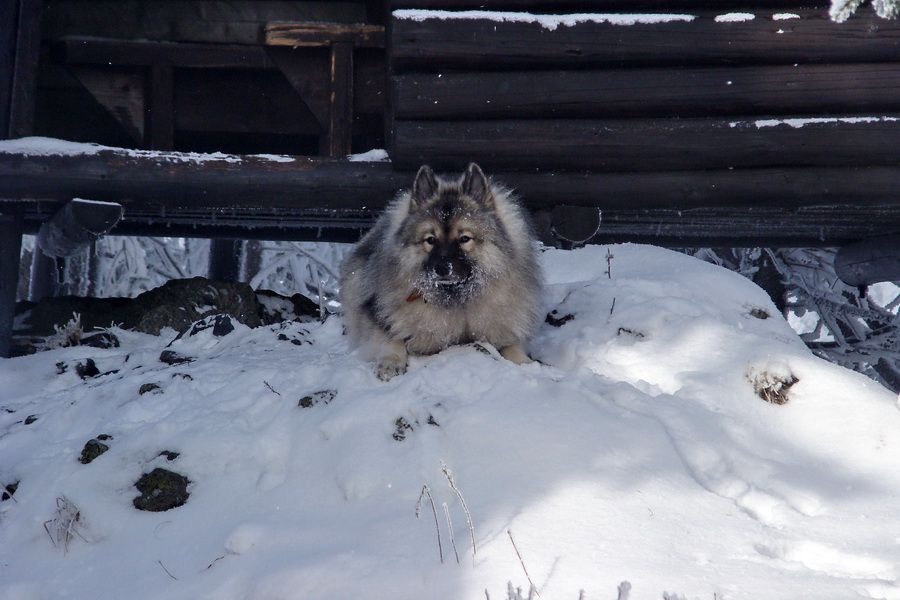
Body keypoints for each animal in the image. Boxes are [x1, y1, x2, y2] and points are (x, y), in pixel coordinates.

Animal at [342, 163, 540, 380]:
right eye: (430, 239)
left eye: (464, 239)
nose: (442, 268)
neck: (456, 300)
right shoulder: (378, 312)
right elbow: (391, 337)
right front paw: (390, 362)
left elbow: (512, 346)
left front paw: (527, 364)